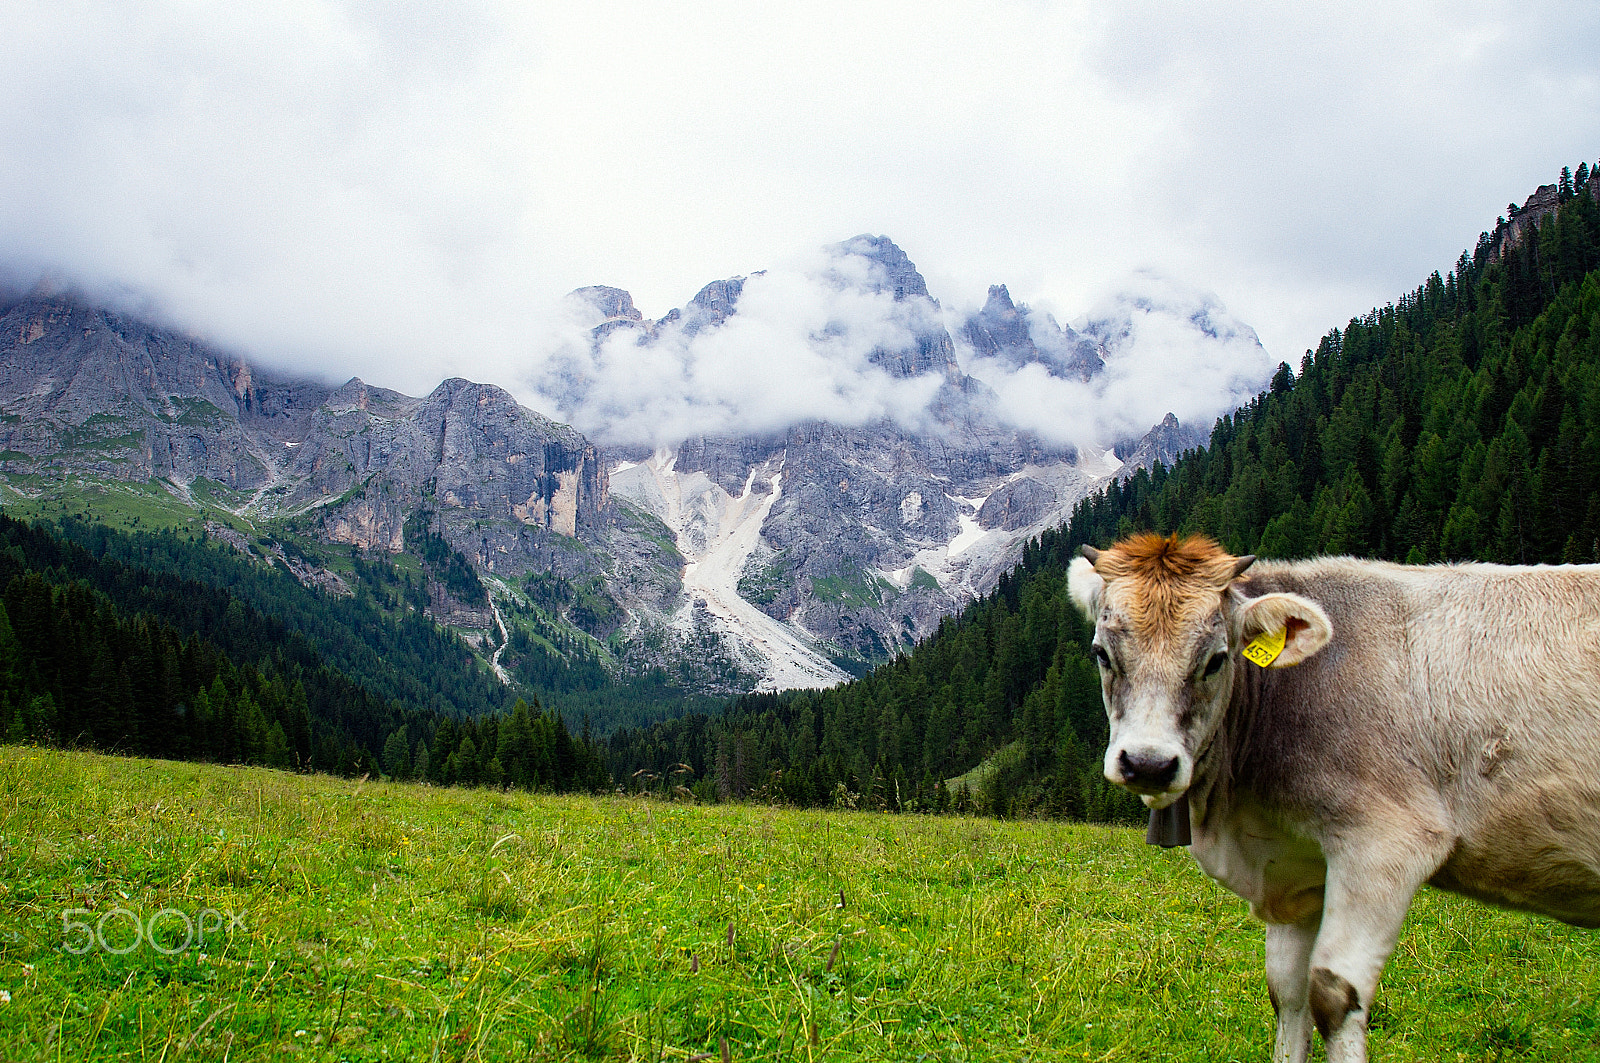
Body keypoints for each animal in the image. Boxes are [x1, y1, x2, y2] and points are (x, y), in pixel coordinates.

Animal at [1066, 532, 1600, 1062]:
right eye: (1102, 654)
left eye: (1216, 659)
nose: (1149, 764)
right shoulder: (1299, 870)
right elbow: (1287, 992)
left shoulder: (1387, 844)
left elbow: (1331, 993)